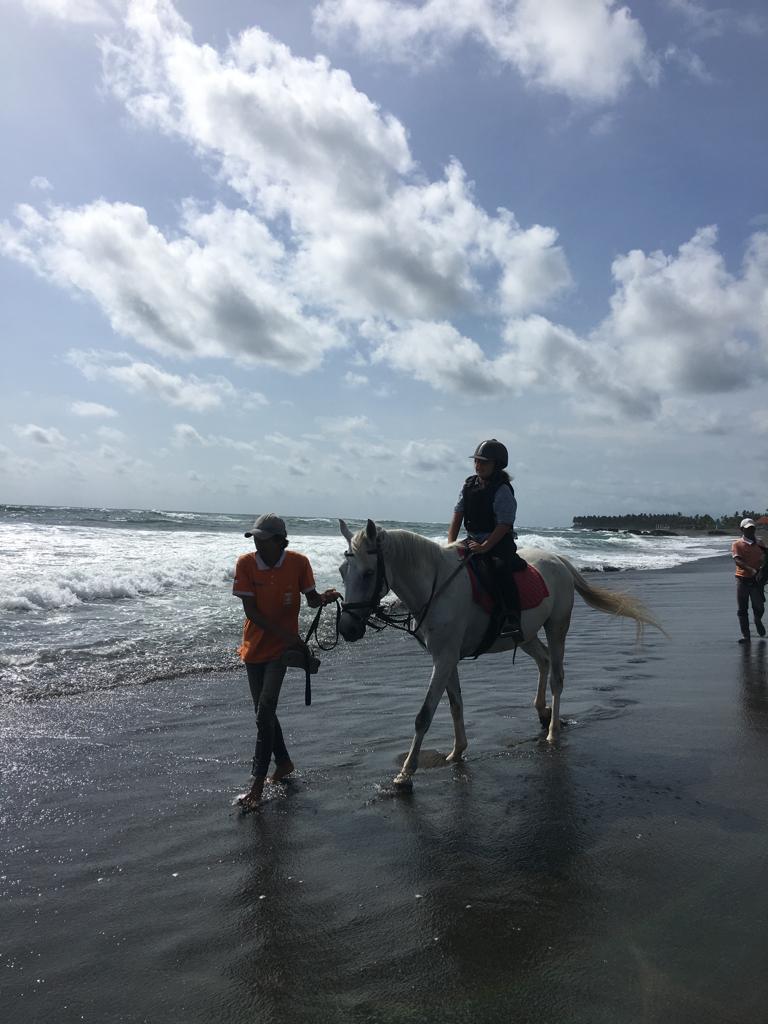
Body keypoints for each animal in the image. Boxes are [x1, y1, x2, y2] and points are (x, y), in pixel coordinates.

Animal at [339, 520, 663, 790]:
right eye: (343, 571)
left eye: (369, 573)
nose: (348, 629)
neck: (436, 585)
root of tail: (559, 560)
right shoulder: (445, 657)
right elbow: (455, 705)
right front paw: (457, 751)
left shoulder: (444, 658)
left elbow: (424, 715)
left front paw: (406, 774)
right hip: (526, 634)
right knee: (544, 660)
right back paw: (542, 711)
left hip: (557, 625)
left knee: (557, 676)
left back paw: (553, 731)